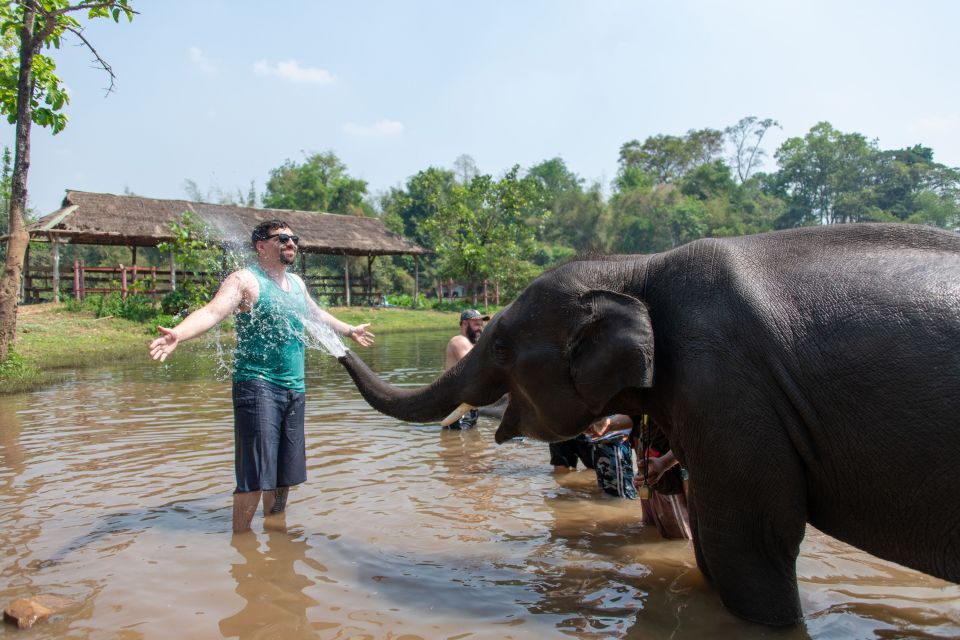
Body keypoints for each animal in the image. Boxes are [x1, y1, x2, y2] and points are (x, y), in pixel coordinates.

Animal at [338, 222, 960, 628]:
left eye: (503, 348)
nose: (345, 340)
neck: (638, 265)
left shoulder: (730, 389)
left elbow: (749, 543)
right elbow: (711, 543)